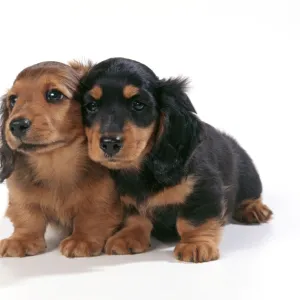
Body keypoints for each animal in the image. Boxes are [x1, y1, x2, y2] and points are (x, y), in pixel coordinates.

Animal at [0, 61, 122, 258]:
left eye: (54, 95)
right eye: (13, 100)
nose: (16, 125)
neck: (55, 165)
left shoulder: (103, 196)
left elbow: (92, 215)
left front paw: (82, 239)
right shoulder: (21, 195)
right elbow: (27, 216)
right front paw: (21, 239)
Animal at [78, 56, 274, 262]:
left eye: (138, 105)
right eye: (91, 106)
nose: (109, 144)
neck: (144, 169)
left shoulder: (204, 188)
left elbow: (193, 220)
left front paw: (196, 244)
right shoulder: (128, 198)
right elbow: (136, 217)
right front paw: (128, 237)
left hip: (249, 176)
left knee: (251, 195)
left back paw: (254, 209)